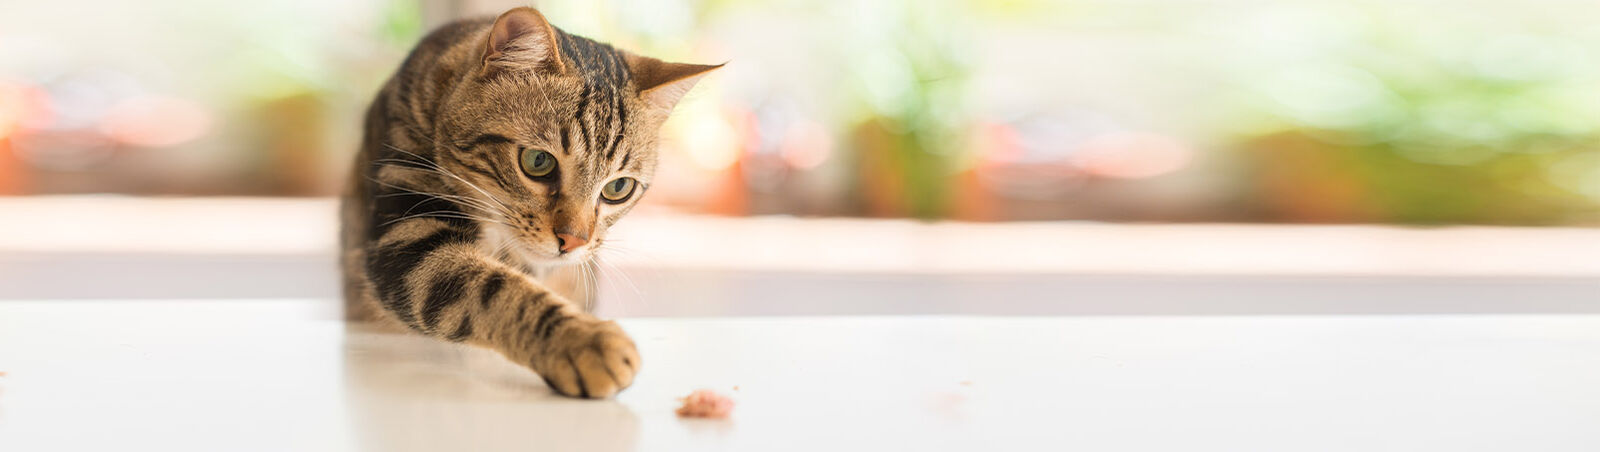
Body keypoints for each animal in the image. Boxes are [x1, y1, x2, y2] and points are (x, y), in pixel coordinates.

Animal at [339, 5, 720, 397]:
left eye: (618, 188)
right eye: (538, 161)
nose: (574, 241)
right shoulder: (408, 231)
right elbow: (491, 289)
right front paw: (583, 339)